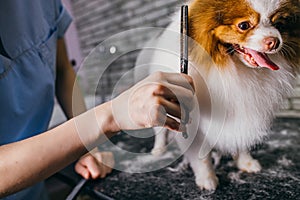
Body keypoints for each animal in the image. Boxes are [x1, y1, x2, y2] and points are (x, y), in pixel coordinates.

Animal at [135, 0, 300, 191]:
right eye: (244, 25)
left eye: (279, 24)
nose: (274, 42)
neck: (230, 67)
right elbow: (200, 156)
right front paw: (207, 179)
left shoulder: (245, 108)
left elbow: (241, 137)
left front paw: (245, 162)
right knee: (160, 130)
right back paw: (159, 150)